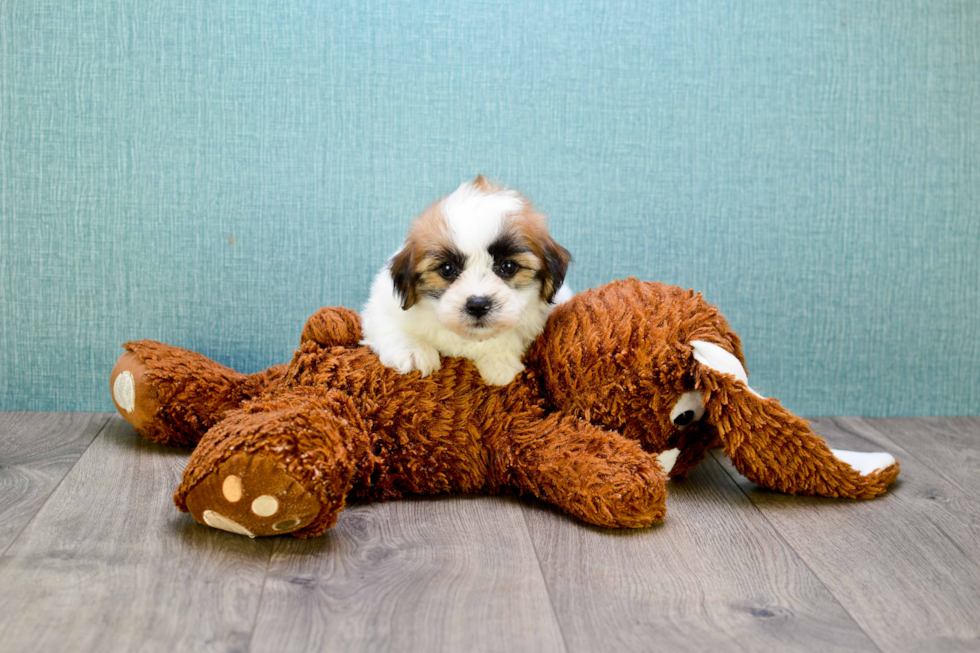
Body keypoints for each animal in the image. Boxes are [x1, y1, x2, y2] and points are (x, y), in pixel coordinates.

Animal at [362, 176, 576, 384]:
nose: (478, 305)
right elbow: (388, 324)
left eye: (508, 266)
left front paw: (500, 361)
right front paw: (412, 350)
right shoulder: (380, 306)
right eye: (447, 269)